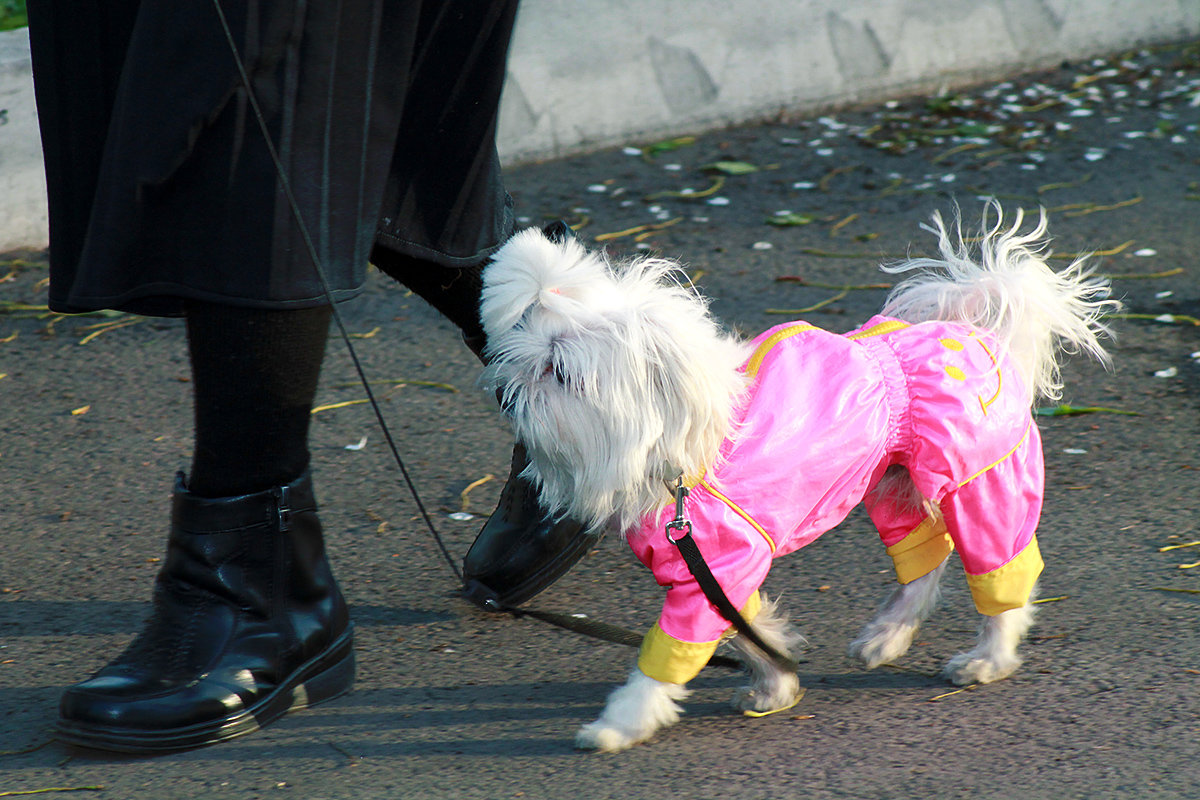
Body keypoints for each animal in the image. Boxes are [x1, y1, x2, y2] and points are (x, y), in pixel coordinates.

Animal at [477, 203, 1113, 753]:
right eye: (523, 346)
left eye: (560, 370)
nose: (505, 389)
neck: (682, 450)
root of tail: (980, 336)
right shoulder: (714, 572)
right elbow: (747, 627)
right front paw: (776, 680)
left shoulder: (711, 569)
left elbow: (662, 664)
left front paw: (620, 723)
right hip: (894, 486)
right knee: (925, 564)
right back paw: (887, 637)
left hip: (982, 482)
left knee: (1002, 571)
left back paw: (989, 657)